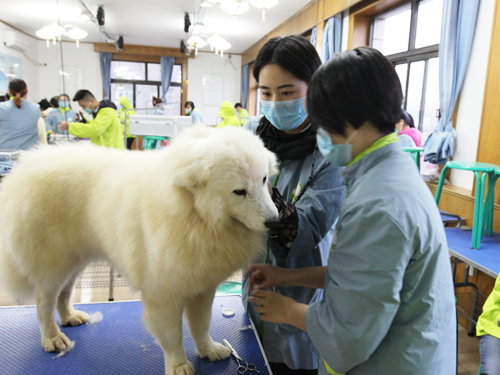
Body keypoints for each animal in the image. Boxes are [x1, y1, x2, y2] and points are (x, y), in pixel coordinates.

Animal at [0, 126, 278, 375]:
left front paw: (207, 350)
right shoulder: (164, 293)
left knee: (63, 294)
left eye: (264, 179)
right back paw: (52, 337)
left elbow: (201, 325)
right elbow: (172, 335)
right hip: (53, 265)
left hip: (74, 260)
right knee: (43, 302)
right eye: (239, 191)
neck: (195, 215)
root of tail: (25, 168)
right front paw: (178, 365)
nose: (275, 222)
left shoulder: (202, 286)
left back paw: (69, 317)